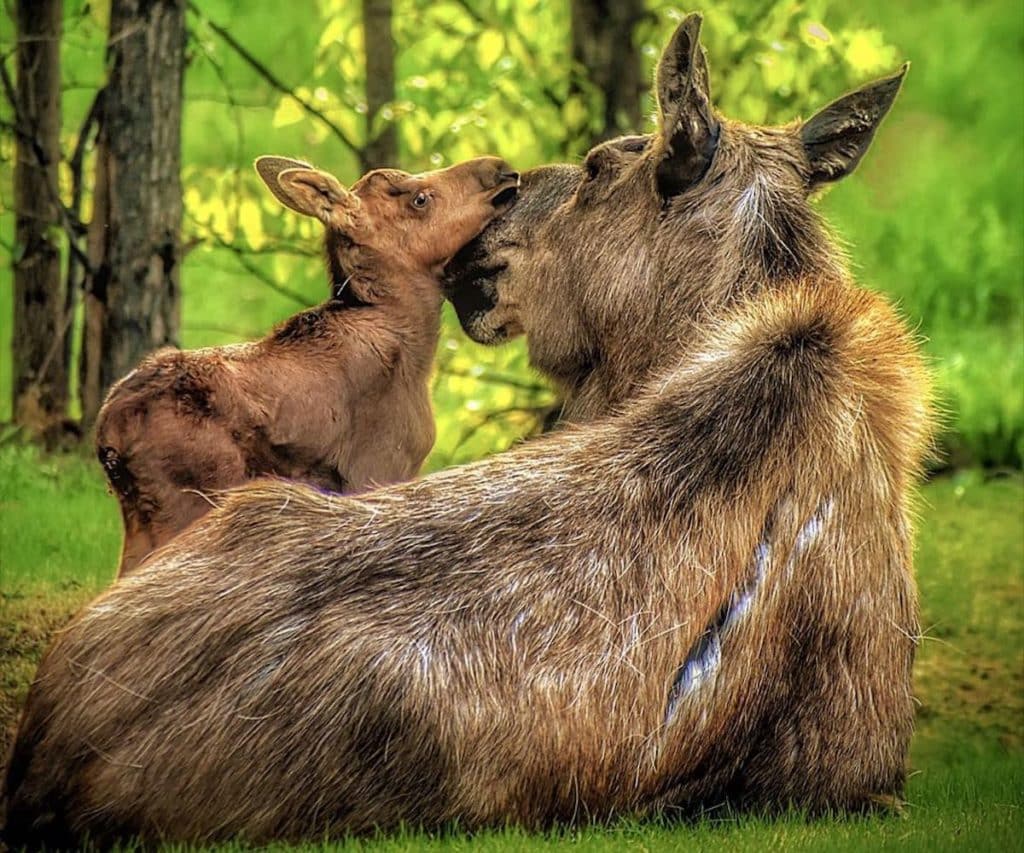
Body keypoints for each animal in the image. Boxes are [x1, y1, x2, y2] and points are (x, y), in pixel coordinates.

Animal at [95, 156, 516, 577]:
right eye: (420, 199)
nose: (500, 168)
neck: (416, 346)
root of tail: (110, 437)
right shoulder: (379, 467)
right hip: (191, 498)